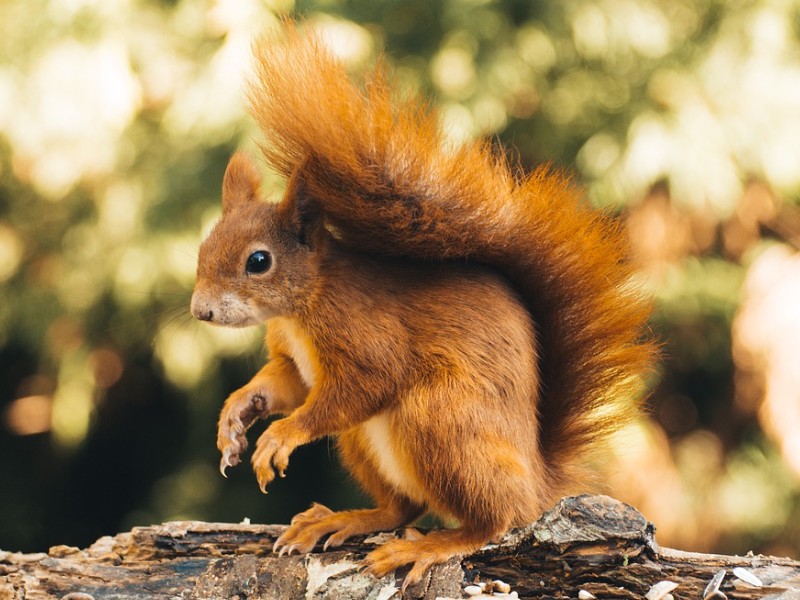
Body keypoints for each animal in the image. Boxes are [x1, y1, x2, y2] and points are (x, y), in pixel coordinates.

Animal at [190, 21, 655, 587]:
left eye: (259, 261)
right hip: (366, 442)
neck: (303, 308)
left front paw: (282, 434)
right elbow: (286, 384)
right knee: (403, 507)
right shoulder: (293, 359)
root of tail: (536, 481)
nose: (201, 311)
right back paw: (345, 519)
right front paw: (236, 415)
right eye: (203, 248)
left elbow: (364, 383)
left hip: (440, 420)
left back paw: (430, 547)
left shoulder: (366, 333)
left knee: (493, 520)